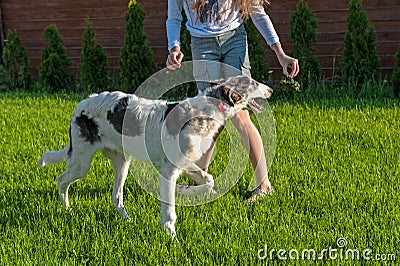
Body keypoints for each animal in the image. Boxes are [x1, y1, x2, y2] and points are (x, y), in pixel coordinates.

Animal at [38, 75, 272, 237]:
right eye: (251, 83)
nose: (270, 90)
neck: (204, 113)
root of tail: (83, 104)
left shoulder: (183, 164)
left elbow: (208, 180)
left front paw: (187, 192)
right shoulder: (169, 170)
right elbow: (169, 212)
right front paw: (172, 237)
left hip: (122, 162)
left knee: (116, 196)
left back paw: (127, 220)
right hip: (82, 162)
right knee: (62, 180)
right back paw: (67, 209)